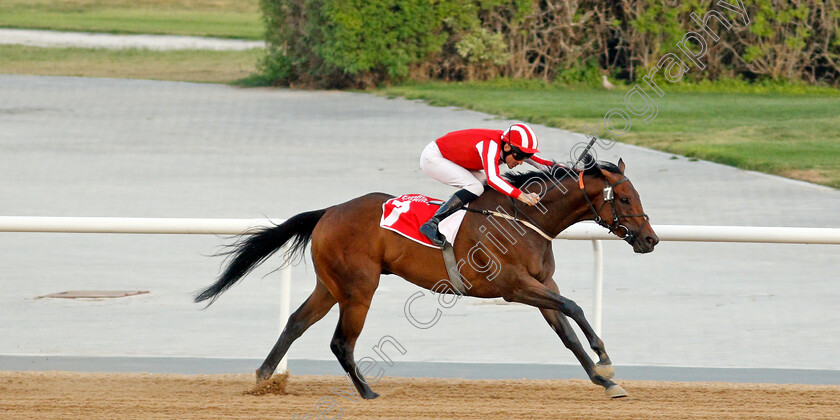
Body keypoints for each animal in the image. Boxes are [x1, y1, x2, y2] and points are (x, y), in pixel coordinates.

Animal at [195, 157, 656, 398]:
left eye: (637, 195)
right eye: (625, 198)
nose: (650, 239)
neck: (525, 220)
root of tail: (328, 212)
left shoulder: (542, 286)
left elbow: (568, 332)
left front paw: (604, 379)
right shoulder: (513, 287)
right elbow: (574, 307)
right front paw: (605, 360)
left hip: (330, 285)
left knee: (295, 322)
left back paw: (263, 377)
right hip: (359, 288)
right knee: (341, 341)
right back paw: (367, 391)